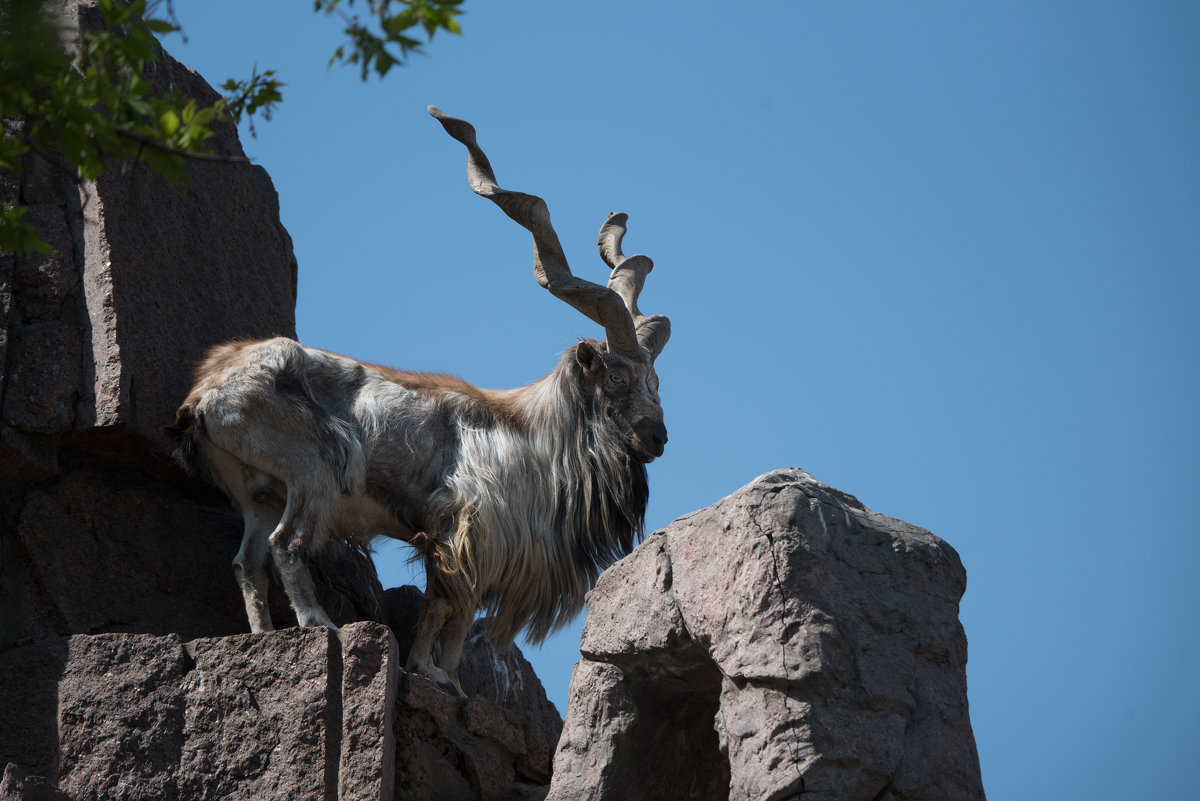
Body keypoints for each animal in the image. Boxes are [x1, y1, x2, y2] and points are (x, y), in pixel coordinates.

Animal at [168, 107, 672, 695]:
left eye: (656, 382)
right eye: (615, 378)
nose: (657, 437)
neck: (534, 433)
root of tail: (206, 394)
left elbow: (454, 612)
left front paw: (444, 676)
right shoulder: (462, 528)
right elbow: (446, 606)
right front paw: (435, 675)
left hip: (259, 491)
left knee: (246, 561)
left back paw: (261, 636)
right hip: (315, 468)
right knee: (286, 544)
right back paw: (318, 625)